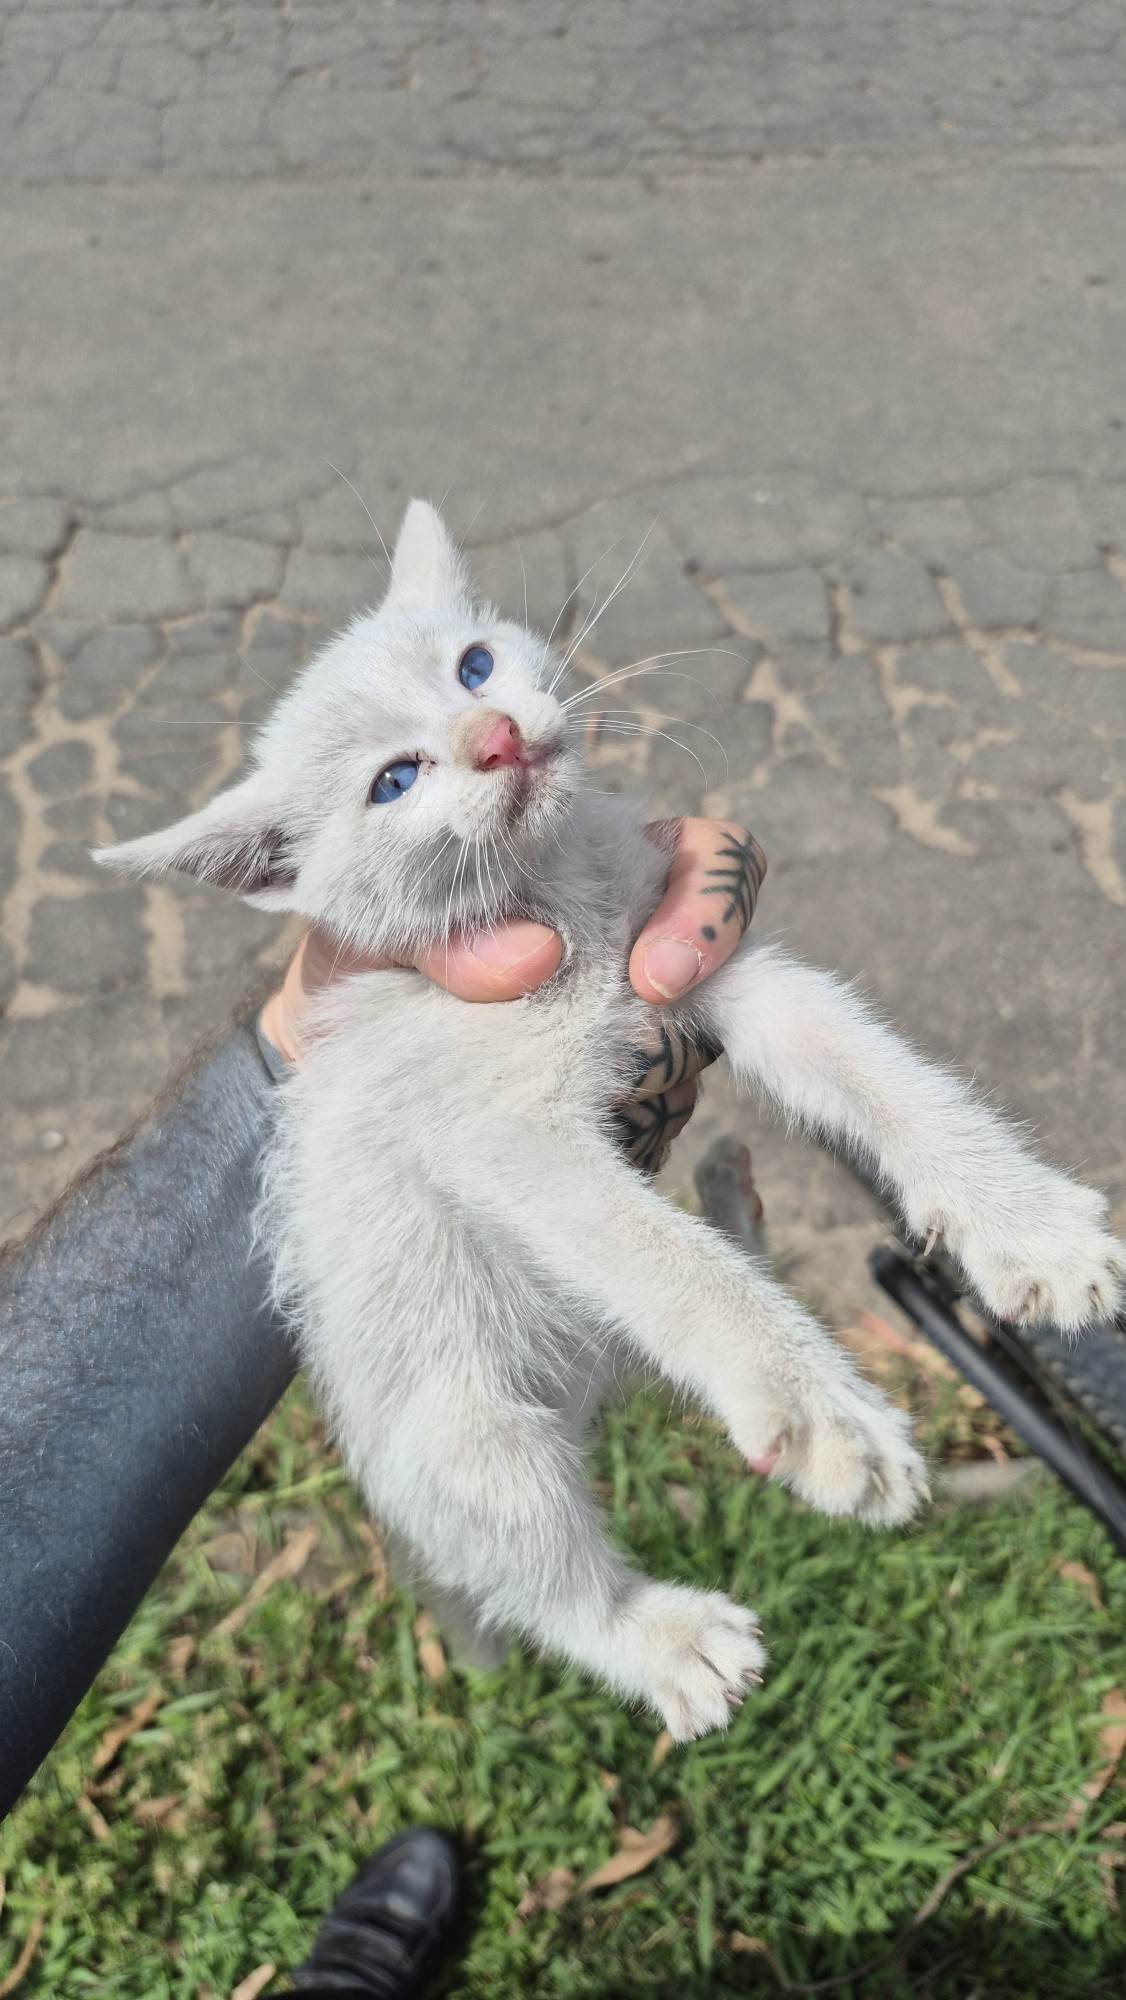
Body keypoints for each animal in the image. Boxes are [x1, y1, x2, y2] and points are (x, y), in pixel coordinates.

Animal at [97, 500, 1125, 1741]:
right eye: (394, 780)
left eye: (473, 664)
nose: (494, 733)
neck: (558, 903)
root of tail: (583, 1386)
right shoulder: (498, 1132)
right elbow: (666, 1262)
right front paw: (820, 1414)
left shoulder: (705, 969)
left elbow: (877, 1070)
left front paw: (1024, 1223)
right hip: (464, 1446)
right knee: (545, 1579)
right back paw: (665, 1639)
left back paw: (734, 1192)